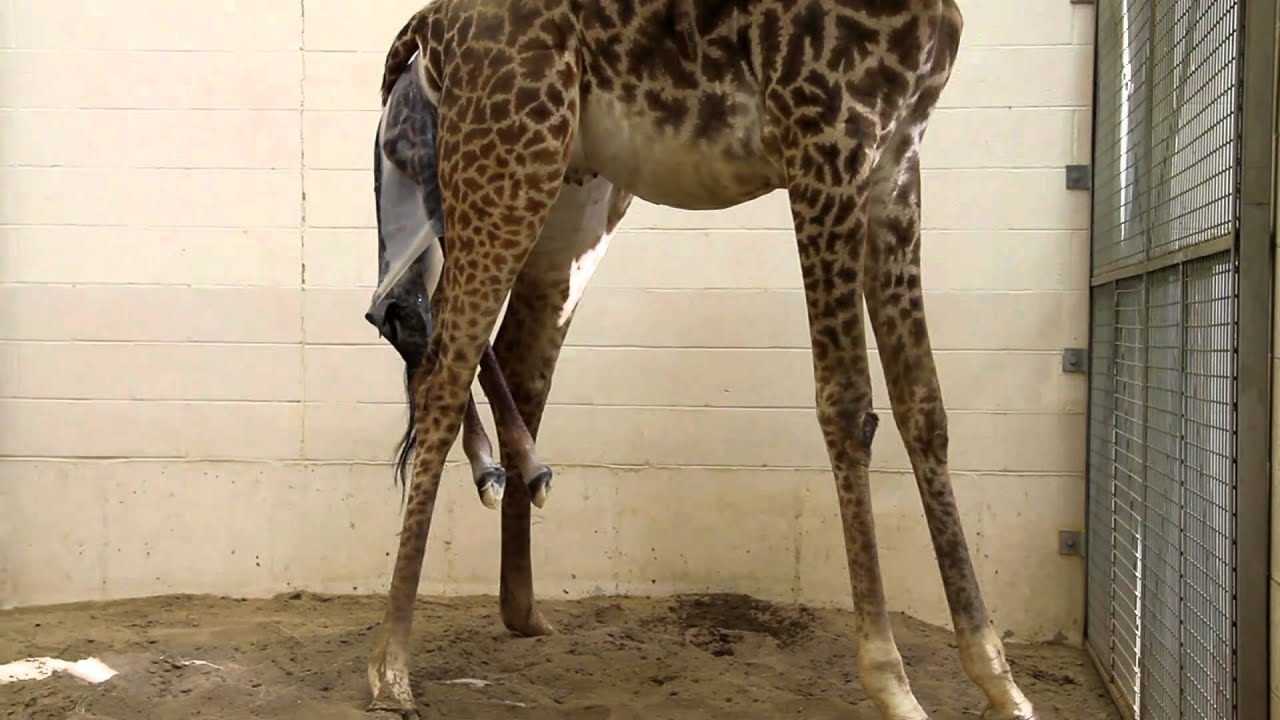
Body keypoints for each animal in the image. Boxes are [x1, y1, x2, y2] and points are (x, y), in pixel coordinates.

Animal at [363, 1, 1039, 719]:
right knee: (437, 357)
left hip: (572, 193)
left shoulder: (896, 162)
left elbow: (924, 406)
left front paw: (1001, 683)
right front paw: (892, 685)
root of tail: (424, 29)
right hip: (507, 156)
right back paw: (391, 672)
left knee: (503, 351)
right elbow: (848, 404)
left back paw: (523, 593)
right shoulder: (826, 141)